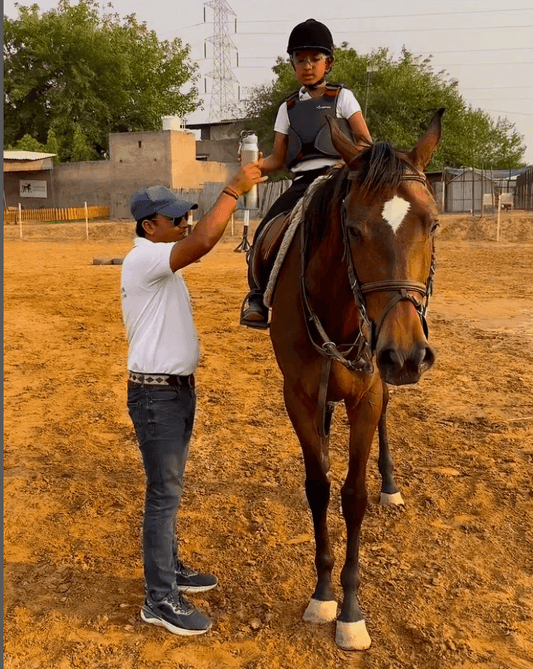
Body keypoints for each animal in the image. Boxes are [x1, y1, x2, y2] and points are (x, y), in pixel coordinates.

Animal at [266, 109, 444, 650]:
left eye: (432, 223)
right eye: (353, 229)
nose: (405, 355)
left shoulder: (367, 395)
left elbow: (354, 495)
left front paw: (350, 610)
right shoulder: (298, 395)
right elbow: (319, 485)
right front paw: (323, 594)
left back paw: (391, 484)